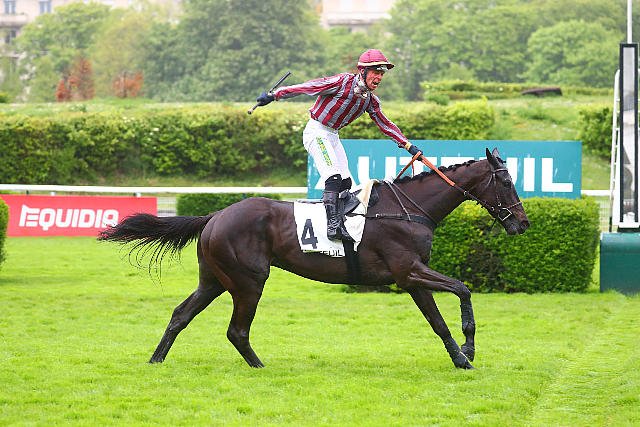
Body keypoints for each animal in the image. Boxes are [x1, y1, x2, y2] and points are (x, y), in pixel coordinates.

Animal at [99, 148, 529, 370]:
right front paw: (466, 354)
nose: (523, 223)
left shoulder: (410, 278)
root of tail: (216, 214)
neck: (407, 209)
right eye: (506, 181)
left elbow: (442, 314)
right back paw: (259, 367)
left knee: (180, 314)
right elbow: (459, 293)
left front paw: (462, 354)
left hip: (215, 280)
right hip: (248, 281)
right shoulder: (409, 273)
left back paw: (156, 360)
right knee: (236, 330)